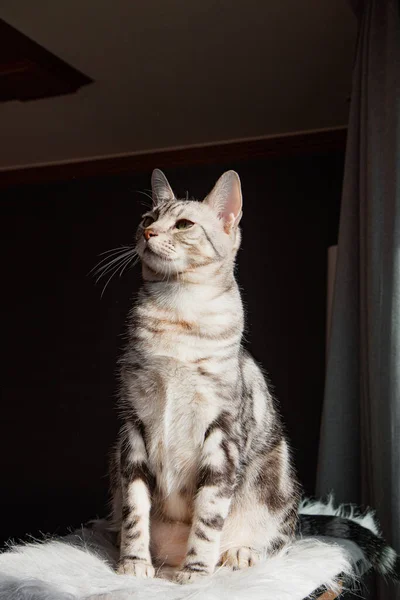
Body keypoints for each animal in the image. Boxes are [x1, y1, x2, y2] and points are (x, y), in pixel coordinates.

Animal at [109, 170, 300, 584]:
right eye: (148, 218)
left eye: (183, 224)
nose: (148, 233)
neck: (177, 315)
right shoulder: (133, 426)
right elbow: (134, 510)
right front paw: (133, 563)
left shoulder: (222, 433)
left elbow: (208, 516)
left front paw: (196, 571)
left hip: (276, 480)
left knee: (278, 537)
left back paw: (239, 552)